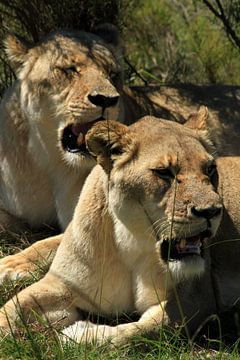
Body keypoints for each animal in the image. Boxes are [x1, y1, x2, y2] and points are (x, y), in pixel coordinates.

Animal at [0, 114, 223, 344]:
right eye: (163, 172)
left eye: (210, 169)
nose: (211, 211)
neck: (132, 241)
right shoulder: (62, 284)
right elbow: (12, 309)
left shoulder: (193, 301)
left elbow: (137, 333)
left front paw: (81, 334)